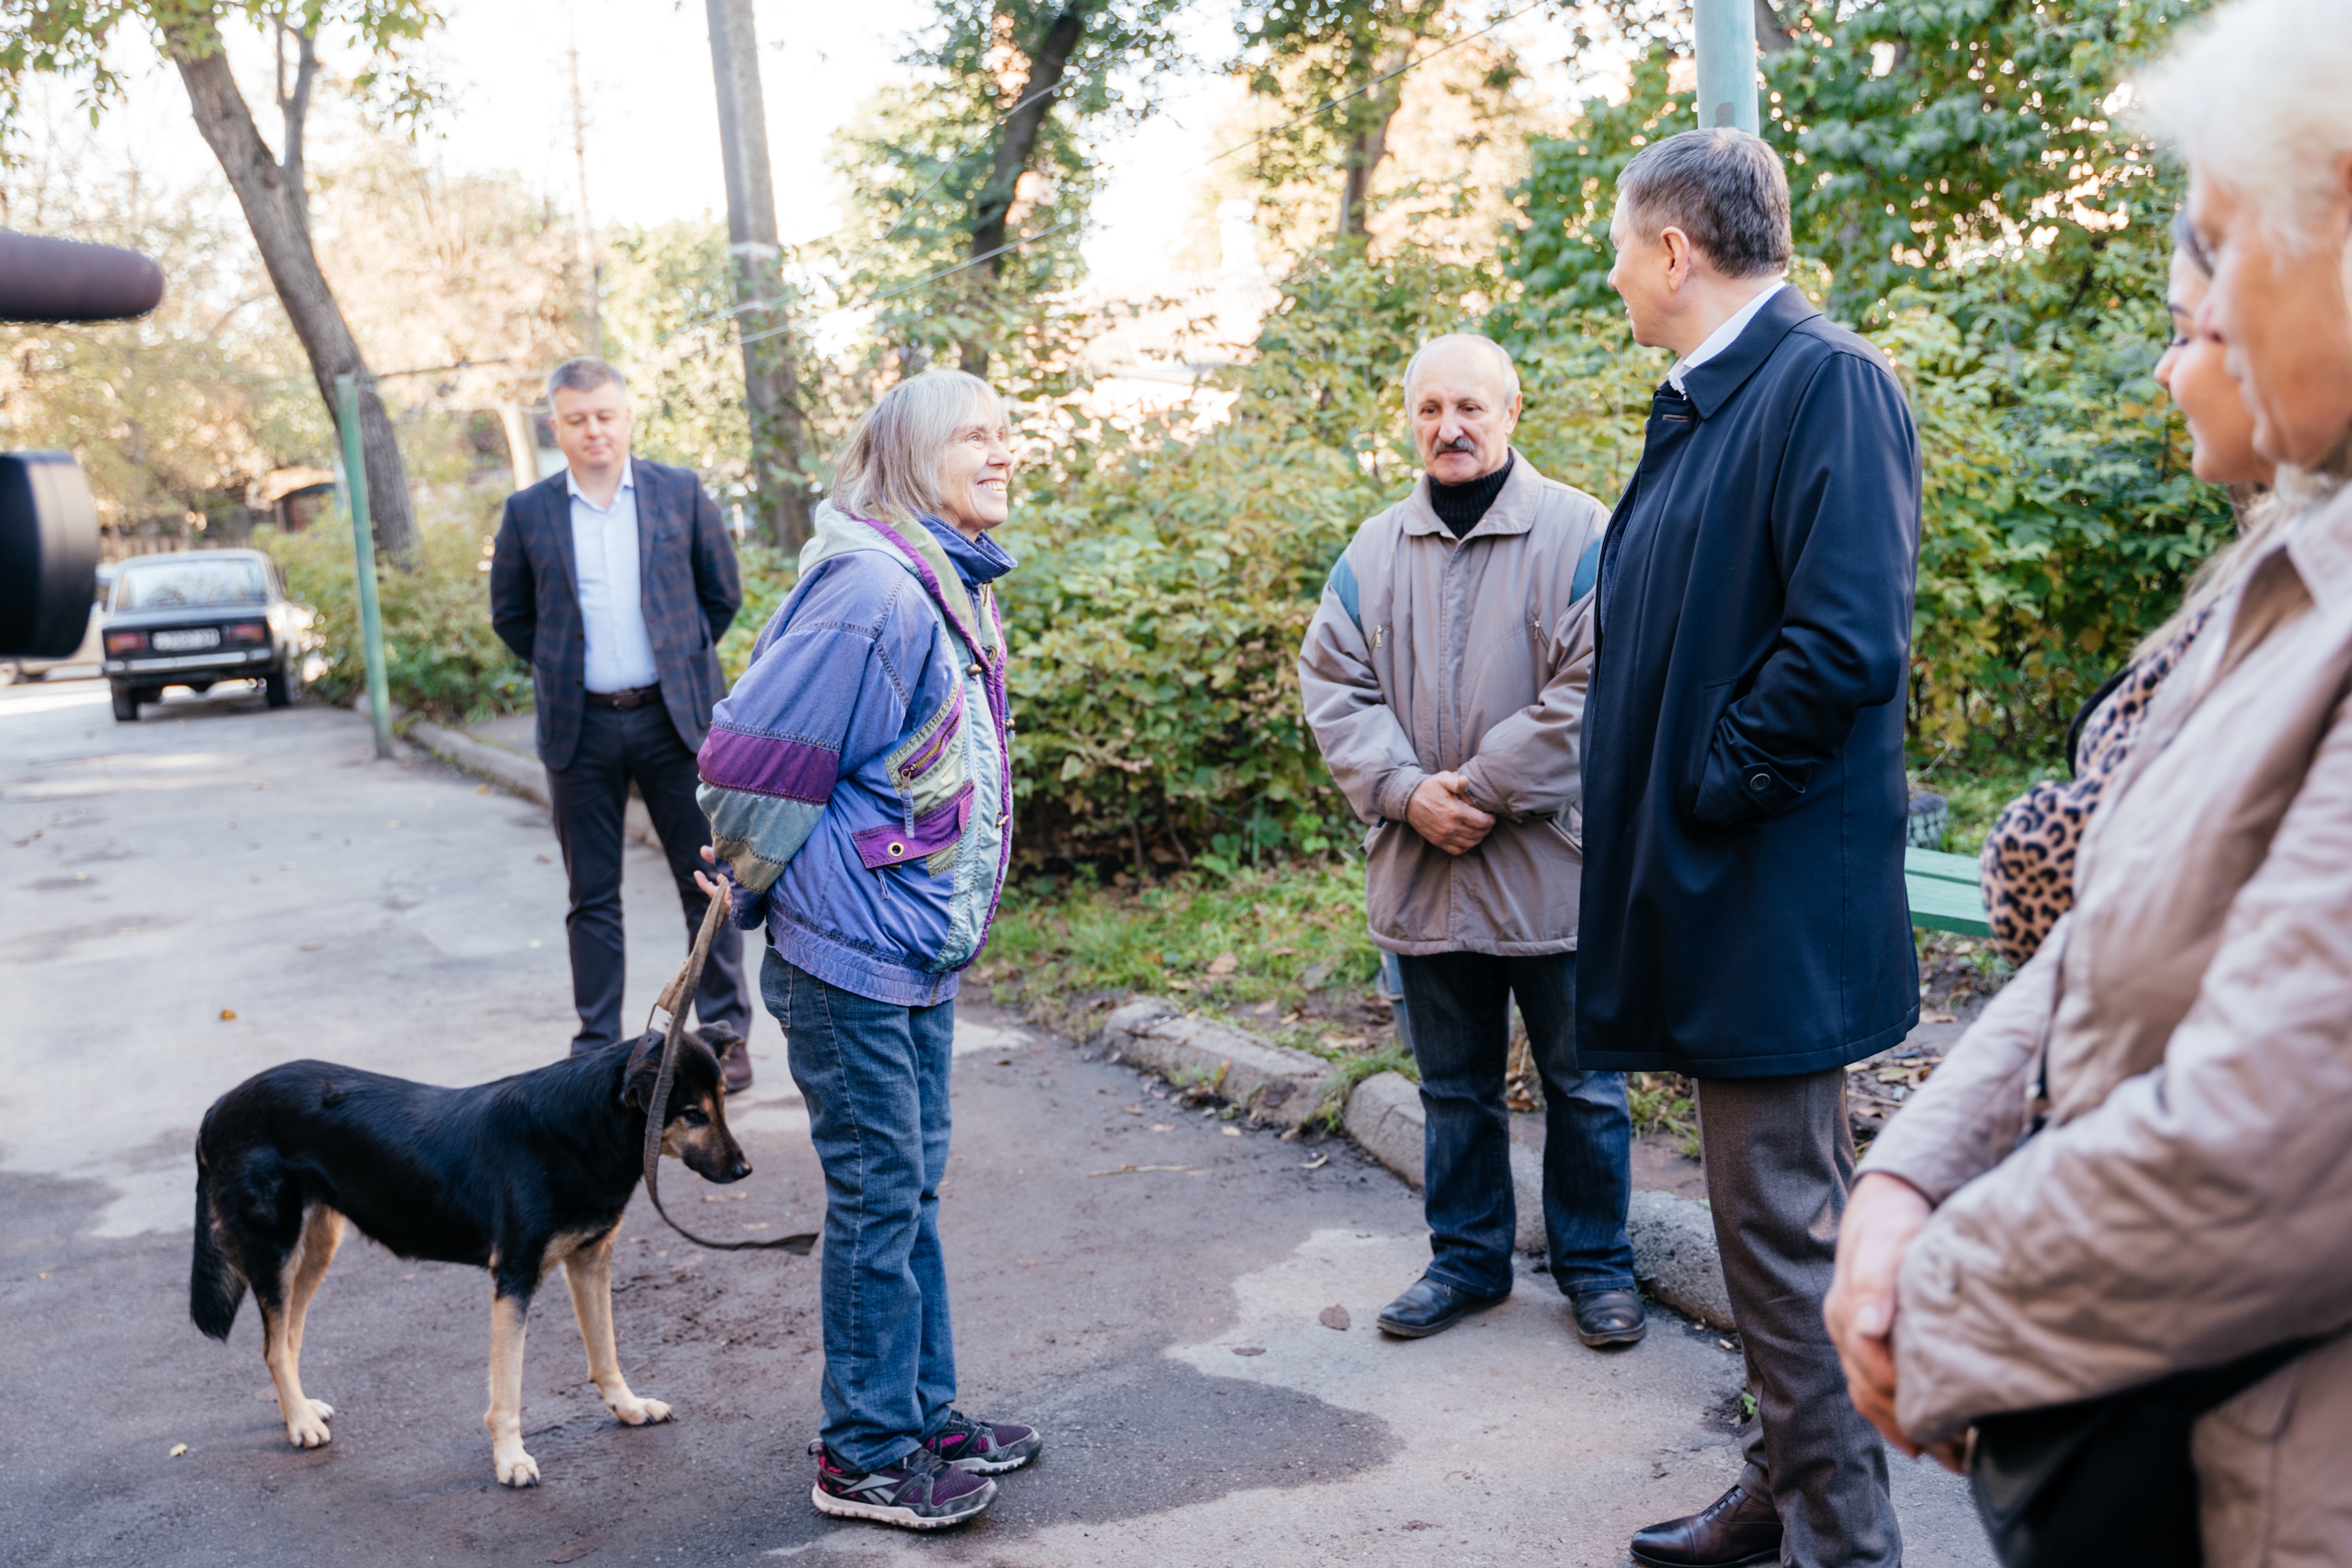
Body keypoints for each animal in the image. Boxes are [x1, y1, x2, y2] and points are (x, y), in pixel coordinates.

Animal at [190, 1030, 743, 1486]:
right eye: (692, 1114)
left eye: (722, 1101)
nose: (745, 1170)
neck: (580, 1131)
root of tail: (218, 1106)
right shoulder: (515, 1278)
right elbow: (509, 1390)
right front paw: (511, 1460)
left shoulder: (590, 1260)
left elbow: (605, 1352)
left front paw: (628, 1408)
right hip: (275, 1247)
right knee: (273, 1346)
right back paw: (301, 1422)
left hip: (318, 1246)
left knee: (288, 1337)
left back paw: (300, 1410)